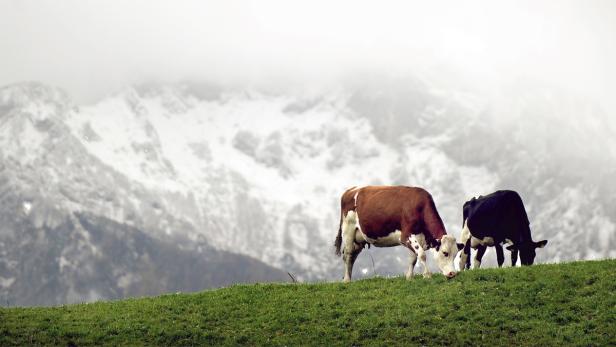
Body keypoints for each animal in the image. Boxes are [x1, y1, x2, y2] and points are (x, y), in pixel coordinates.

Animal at [332, 185, 462, 282]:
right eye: (445, 253)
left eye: (456, 254)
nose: (452, 273)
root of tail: (351, 190)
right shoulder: (406, 236)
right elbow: (421, 254)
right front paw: (427, 274)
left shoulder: (418, 237)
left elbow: (413, 258)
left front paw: (409, 277)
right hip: (348, 230)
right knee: (347, 255)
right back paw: (346, 280)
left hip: (359, 239)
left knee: (352, 257)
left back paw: (348, 278)